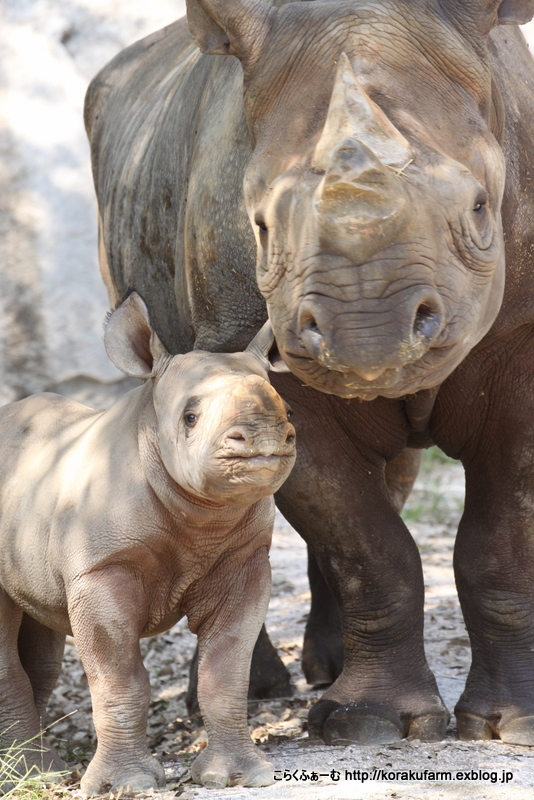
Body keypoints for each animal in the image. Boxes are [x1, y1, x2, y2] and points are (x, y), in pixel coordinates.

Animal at [0, 292, 296, 792]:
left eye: (290, 412)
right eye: (190, 418)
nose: (264, 438)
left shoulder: (243, 561)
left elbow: (225, 671)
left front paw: (240, 776)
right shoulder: (102, 569)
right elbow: (120, 678)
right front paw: (127, 785)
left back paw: (39, 770)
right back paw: (30, 775)